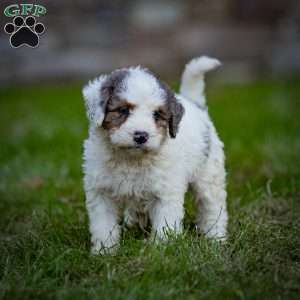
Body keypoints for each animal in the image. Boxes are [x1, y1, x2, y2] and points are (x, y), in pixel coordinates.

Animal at [82, 55, 227, 253]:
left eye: (157, 114)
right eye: (123, 110)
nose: (141, 136)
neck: (131, 159)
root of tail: (195, 104)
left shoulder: (166, 192)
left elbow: (165, 224)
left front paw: (161, 250)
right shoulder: (101, 191)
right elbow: (104, 226)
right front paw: (104, 252)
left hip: (209, 175)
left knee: (213, 206)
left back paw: (216, 238)